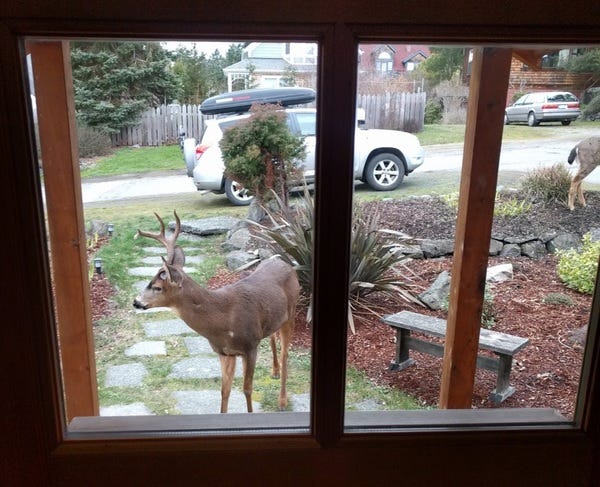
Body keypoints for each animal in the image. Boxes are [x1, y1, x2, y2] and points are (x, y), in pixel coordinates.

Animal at [132, 212, 300, 414]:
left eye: (157, 287)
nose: (136, 302)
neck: (224, 319)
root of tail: (286, 263)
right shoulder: (224, 352)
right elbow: (224, 390)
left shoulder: (250, 345)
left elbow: (247, 389)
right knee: (272, 335)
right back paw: (274, 372)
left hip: (292, 311)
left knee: (285, 354)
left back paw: (282, 401)